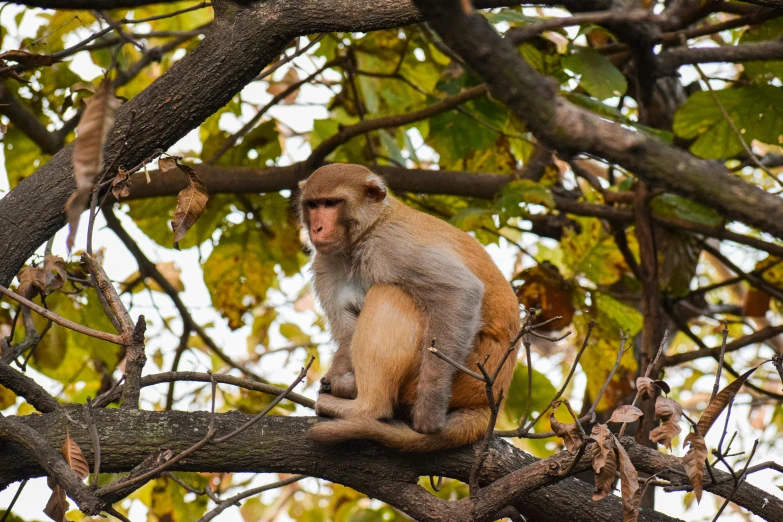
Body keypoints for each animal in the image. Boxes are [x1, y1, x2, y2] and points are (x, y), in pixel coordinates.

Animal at [302, 164, 520, 450]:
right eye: (313, 204)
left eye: (331, 203)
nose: (317, 228)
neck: (366, 233)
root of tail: (489, 400)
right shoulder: (327, 265)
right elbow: (347, 334)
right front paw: (338, 378)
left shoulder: (393, 245)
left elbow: (460, 292)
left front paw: (429, 411)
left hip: (469, 372)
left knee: (390, 292)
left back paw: (367, 408)